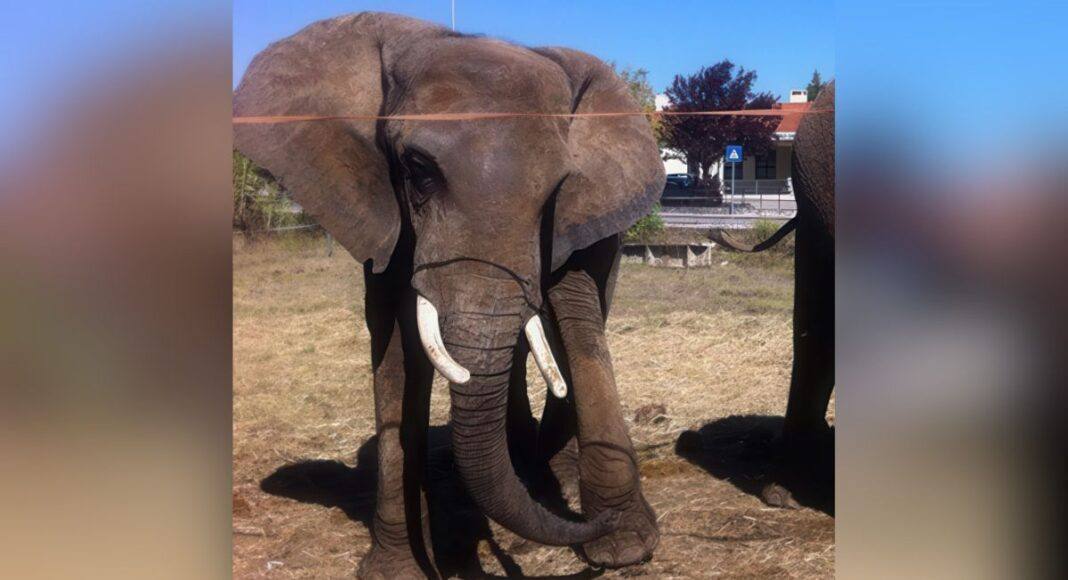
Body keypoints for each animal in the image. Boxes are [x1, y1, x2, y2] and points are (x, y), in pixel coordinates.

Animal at [233, 13, 664, 578]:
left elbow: (575, 312)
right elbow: (395, 343)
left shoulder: (575, 214)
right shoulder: (384, 213)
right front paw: (398, 571)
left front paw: (625, 546)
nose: (593, 527)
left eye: (556, 188)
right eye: (417, 171)